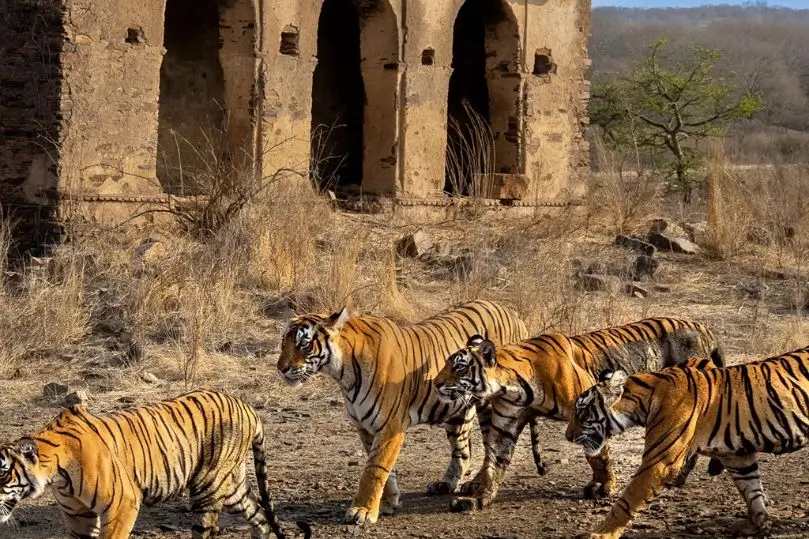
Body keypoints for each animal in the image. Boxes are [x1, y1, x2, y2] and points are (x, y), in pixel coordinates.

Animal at [0, 389, 300, 539]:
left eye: (2, 473)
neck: (56, 474)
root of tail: (247, 406)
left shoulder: (122, 504)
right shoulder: (78, 517)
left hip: (208, 487)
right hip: (231, 487)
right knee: (260, 516)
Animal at [276, 299, 541, 525]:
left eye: (304, 344)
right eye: (284, 342)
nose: (281, 368)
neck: (343, 374)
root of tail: (512, 312)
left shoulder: (390, 425)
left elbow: (373, 469)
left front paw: (362, 510)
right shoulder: (366, 427)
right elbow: (384, 468)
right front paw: (388, 502)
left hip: (490, 406)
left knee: (491, 449)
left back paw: (475, 484)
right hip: (457, 412)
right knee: (464, 450)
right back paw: (446, 483)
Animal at [433, 316, 725, 512]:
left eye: (459, 368)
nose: (435, 383)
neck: (512, 385)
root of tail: (705, 328)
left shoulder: (591, 412)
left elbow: (597, 455)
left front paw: (605, 486)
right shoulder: (505, 424)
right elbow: (494, 460)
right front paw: (479, 496)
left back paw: (679, 477)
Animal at [566, 346, 809, 539]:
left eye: (581, 412)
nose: (567, 436)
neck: (644, 401)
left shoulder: (659, 462)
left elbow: (626, 501)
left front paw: (600, 533)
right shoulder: (737, 456)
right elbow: (751, 489)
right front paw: (756, 525)